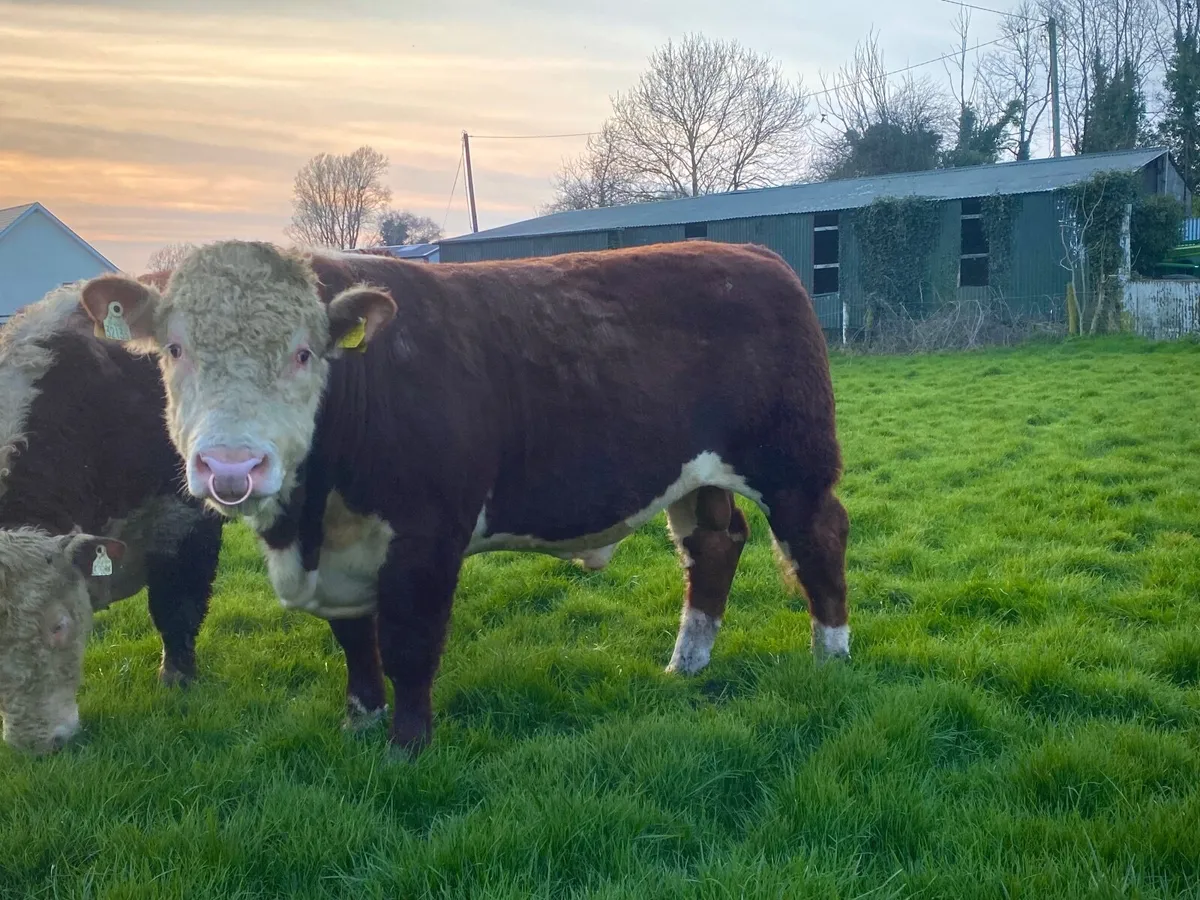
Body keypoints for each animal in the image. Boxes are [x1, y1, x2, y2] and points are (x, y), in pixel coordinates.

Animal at [77, 238, 851, 756]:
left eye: (303, 353)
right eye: (174, 350)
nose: (231, 466)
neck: (308, 522)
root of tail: (756, 255)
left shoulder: (427, 535)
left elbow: (411, 643)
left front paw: (406, 746)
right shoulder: (342, 554)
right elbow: (355, 637)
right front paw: (360, 718)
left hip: (795, 463)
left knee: (819, 541)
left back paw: (831, 657)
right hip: (698, 475)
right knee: (713, 544)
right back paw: (686, 665)